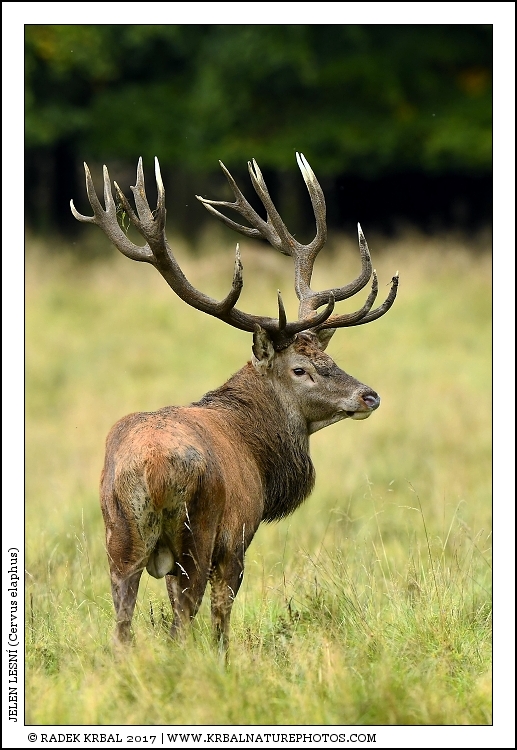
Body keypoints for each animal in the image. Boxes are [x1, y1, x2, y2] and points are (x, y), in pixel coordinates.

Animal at [70, 153, 398, 652]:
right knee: (185, 618)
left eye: (329, 357)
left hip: (118, 536)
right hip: (198, 531)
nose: (369, 395)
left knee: (122, 625)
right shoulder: (239, 534)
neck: (259, 454)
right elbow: (222, 616)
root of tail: (149, 467)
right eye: (300, 369)